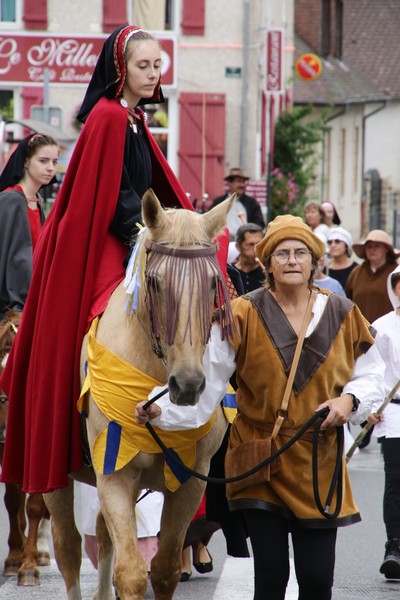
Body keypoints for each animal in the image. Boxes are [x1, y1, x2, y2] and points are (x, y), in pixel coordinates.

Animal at [43, 189, 234, 600]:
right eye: (157, 283)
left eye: (213, 283)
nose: (188, 385)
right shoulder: (115, 475)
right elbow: (130, 573)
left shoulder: (190, 482)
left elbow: (163, 570)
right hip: (52, 472)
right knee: (68, 548)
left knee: (101, 536)